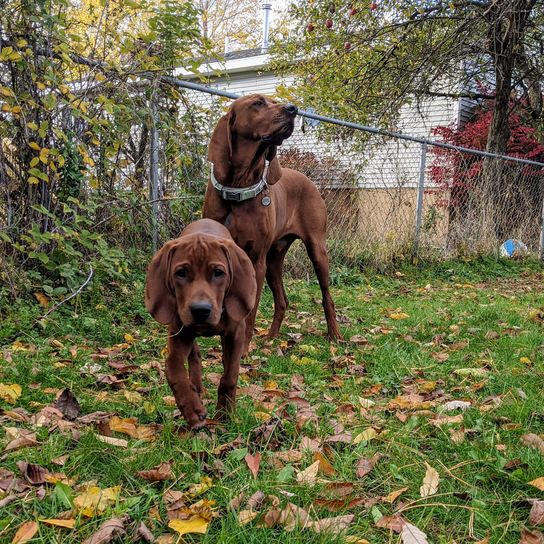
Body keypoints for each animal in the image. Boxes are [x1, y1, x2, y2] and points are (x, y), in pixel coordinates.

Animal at [144, 218, 255, 430]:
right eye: (181, 273)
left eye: (218, 273)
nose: (200, 310)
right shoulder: (179, 333)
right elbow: (173, 368)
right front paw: (192, 410)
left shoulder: (236, 333)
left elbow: (230, 376)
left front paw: (225, 414)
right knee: (194, 354)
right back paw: (196, 387)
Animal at [204, 92, 340, 352]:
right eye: (258, 103)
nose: (293, 108)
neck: (237, 190)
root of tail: (307, 179)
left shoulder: (255, 261)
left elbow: (249, 313)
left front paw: (242, 350)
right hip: (274, 259)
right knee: (282, 300)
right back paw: (271, 336)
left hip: (316, 252)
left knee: (327, 297)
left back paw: (334, 335)